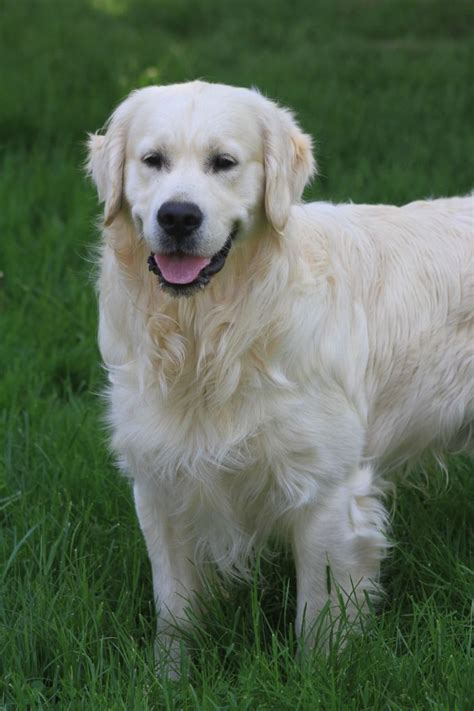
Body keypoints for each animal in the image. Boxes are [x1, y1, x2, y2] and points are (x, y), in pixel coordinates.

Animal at [87, 80, 472, 676]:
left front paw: (317, 680)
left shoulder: (328, 493)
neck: (212, 338)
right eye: (152, 160)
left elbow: (316, 622)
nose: (178, 217)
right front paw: (167, 679)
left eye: (224, 162)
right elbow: (173, 608)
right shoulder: (159, 481)